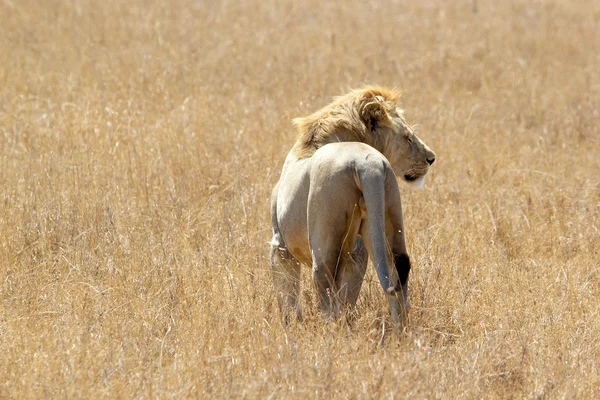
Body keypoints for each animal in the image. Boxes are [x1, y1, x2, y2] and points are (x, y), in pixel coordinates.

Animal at [270, 85, 434, 324]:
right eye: (408, 138)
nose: (432, 158)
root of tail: (367, 164)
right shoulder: (357, 247)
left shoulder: (280, 244)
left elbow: (288, 294)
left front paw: (291, 324)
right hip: (387, 216)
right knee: (397, 277)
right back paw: (400, 330)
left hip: (325, 240)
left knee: (329, 293)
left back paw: (331, 330)